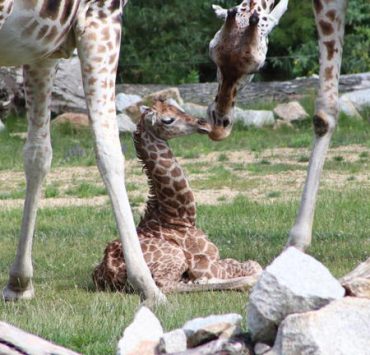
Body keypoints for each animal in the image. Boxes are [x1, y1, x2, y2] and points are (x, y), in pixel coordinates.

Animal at [92, 101, 262, 294]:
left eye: (177, 107)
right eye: (168, 120)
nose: (204, 123)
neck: (178, 217)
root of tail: (109, 273)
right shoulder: (206, 265)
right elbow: (254, 264)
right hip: (175, 257)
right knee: (165, 285)